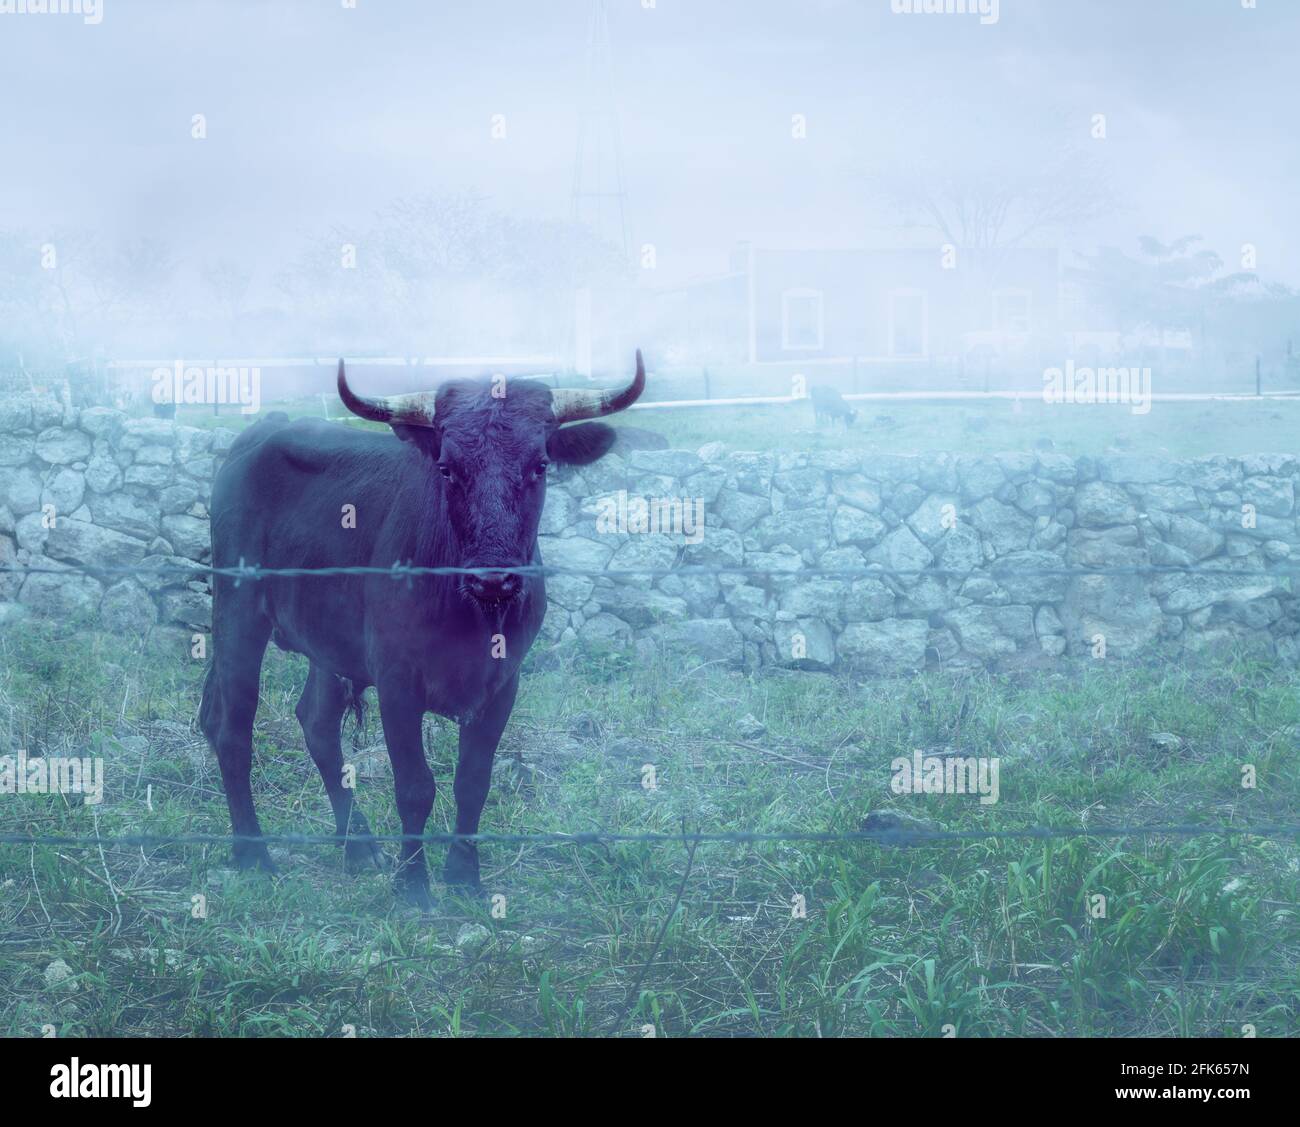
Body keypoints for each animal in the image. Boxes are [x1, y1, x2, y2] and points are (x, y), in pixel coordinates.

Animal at [197, 353, 644, 909]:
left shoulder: (505, 683)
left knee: (317, 723)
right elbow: (415, 786)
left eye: (540, 466)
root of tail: (261, 432)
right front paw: (413, 885)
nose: (493, 578)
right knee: (232, 726)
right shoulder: (397, 680)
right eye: (448, 468)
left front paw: (465, 876)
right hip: (239, 612)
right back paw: (254, 853)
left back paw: (358, 846)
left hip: (329, 641)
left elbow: (473, 781)